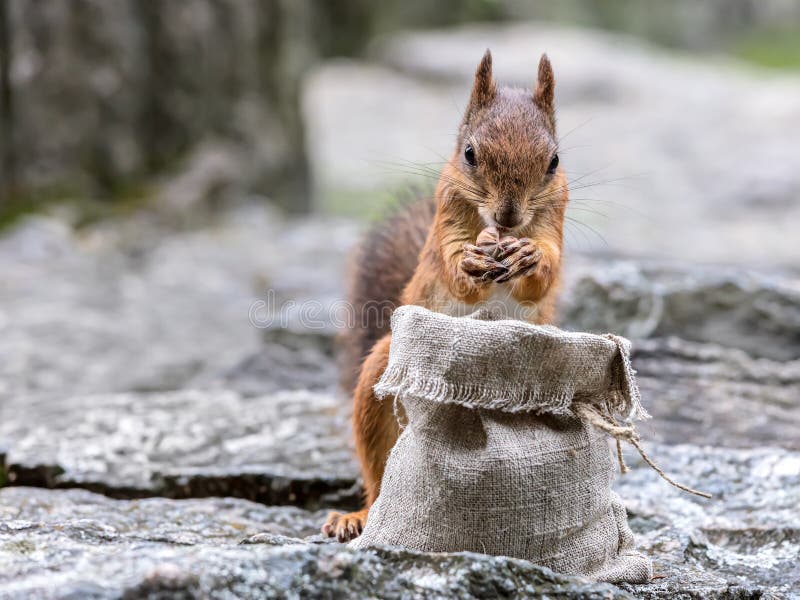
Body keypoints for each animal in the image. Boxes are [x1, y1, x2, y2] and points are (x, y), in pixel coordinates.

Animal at [323, 50, 568, 542]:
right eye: (469, 154)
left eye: (553, 161)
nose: (508, 216)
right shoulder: (445, 219)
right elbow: (455, 272)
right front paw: (471, 262)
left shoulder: (557, 215)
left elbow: (543, 274)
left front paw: (530, 255)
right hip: (379, 382)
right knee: (378, 478)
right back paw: (359, 517)